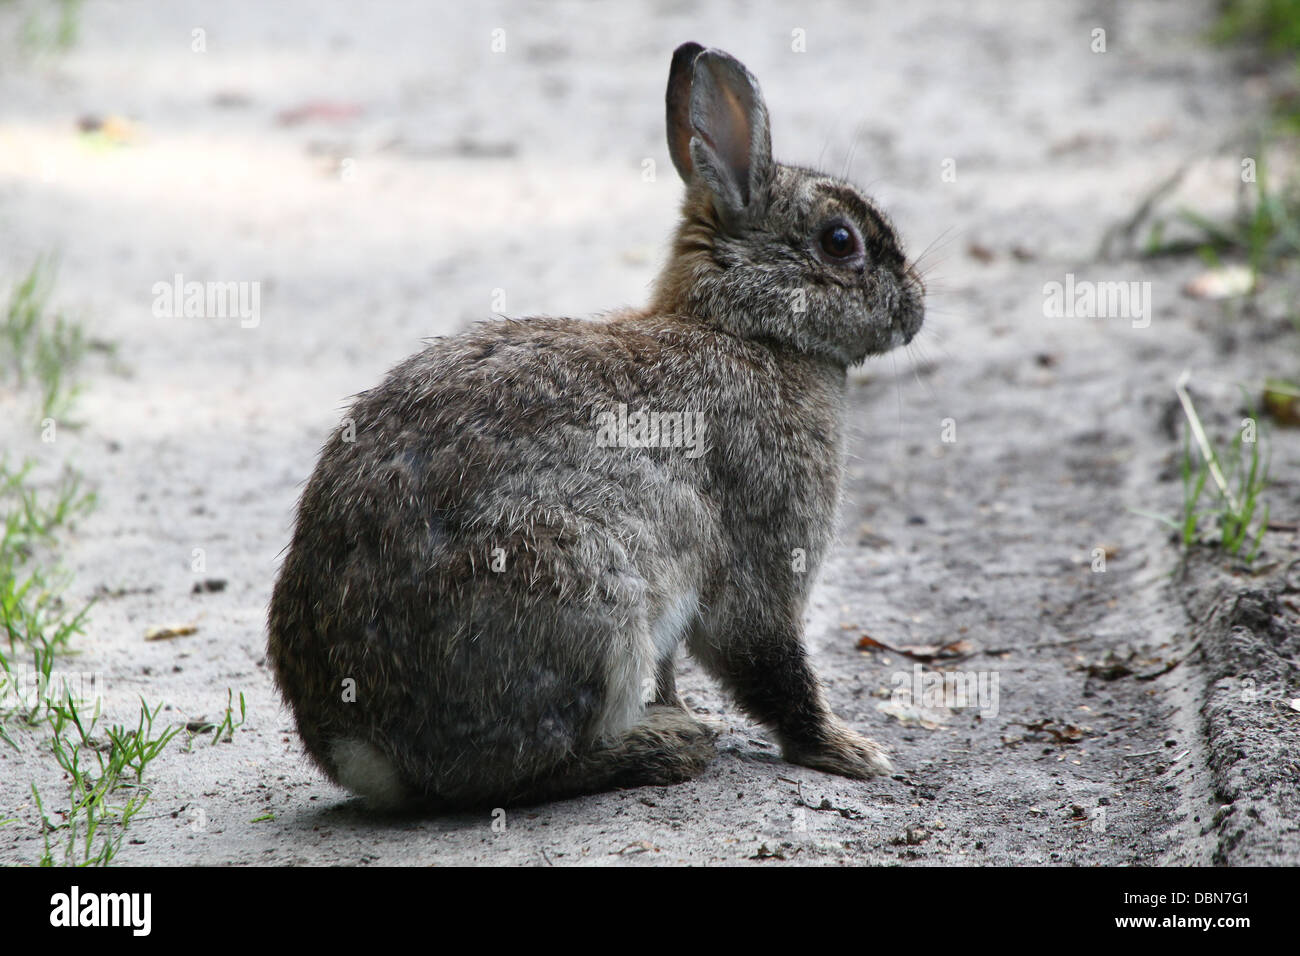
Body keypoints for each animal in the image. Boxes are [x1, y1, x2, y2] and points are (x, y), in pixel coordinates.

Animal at [266, 41, 925, 811]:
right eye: (841, 241)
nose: (915, 308)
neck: (746, 328)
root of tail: (360, 745)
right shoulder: (763, 555)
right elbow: (767, 660)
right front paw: (854, 754)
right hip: (586, 596)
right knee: (520, 773)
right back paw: (668, 746)